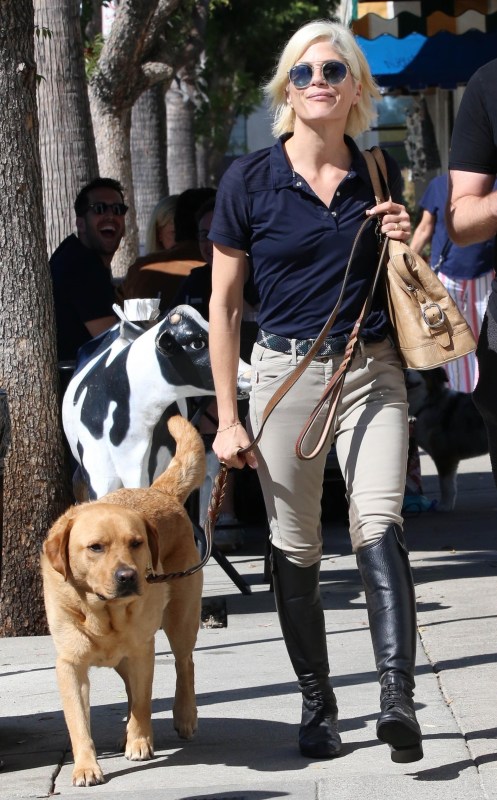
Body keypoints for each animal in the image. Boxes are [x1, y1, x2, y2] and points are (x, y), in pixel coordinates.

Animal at [41, 416, 205, 784]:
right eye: (95, 547)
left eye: (136, 543)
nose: (128, 576)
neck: (103, 613)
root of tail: (157, 491)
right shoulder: (69, 664)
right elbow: (78, 722)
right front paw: (86, 766)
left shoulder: (143, 650)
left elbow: (143, 703)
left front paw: (140, 742)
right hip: (123, 658)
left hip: (181, 618)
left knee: (185, 663)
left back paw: (183, 716)